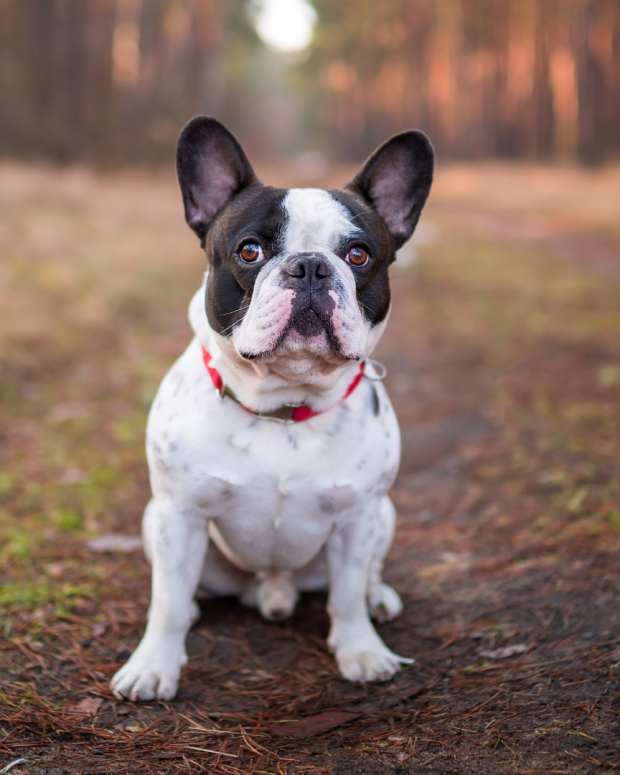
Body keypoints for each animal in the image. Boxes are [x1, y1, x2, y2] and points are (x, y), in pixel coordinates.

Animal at [110, 116, 432, 704]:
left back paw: (379, 600)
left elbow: (347, 594)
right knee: (182, 590)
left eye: (358, 255)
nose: (309, 267)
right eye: (250, 251)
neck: (284, 406)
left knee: (366, 577)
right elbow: (166, 603)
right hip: (155, 520)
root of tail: (274, 588)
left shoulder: (356, 519)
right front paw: (152, 666)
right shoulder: (179, 514)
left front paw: (362, 651)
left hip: (384, 515)